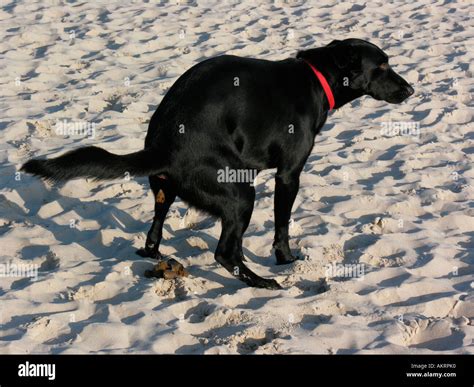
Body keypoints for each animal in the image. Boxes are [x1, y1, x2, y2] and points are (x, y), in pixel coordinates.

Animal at [23, 38, 414, 290]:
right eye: (382, 66)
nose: (410, 90)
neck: (316, 78)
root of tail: (164, 145)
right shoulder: (289, 175)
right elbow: (282, 225)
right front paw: (285, 258)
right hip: (240, 192)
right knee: (225, 253)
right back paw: (261, 282)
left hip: (167, 191)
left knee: (155, 233)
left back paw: (158, 252)